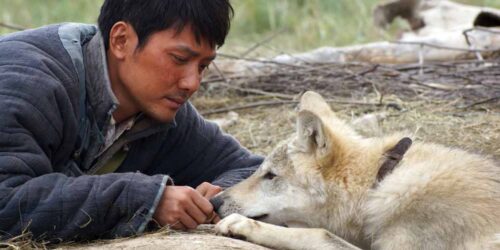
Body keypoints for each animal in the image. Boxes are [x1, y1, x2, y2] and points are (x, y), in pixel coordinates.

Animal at [212, 91, 500, 249]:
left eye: (271, 176)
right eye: (260, 170)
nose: (214, 202)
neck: (378, 182)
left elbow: (318, 233)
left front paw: (242, 225)